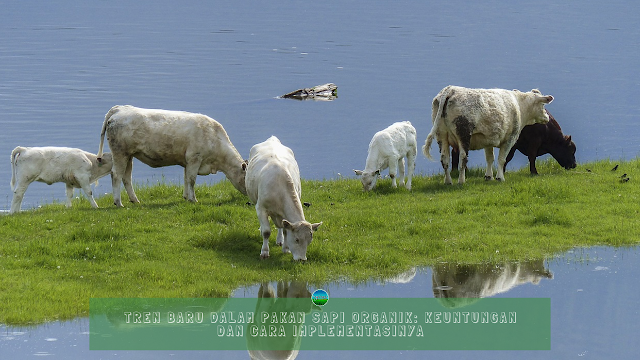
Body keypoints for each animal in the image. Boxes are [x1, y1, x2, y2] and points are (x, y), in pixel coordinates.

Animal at [97, 104, 248, 207]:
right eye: (246, 178)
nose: (250, 198)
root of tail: (120, 109)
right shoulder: (195, 158)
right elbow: (192, 179)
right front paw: (193, 199)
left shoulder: (188, 161)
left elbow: (186, 178)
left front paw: (186, 197)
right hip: (120, 152)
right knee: (116, 174)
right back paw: (118, 203)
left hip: (129, 155)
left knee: (126, 177)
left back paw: (135, 200)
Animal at [422, 86, 552, 184]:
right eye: (543, 105)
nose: (547, 117)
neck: (519, 106)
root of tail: (450, 89)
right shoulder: (509, 139)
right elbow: (501, 159)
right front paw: (500, 177)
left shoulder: (488, 140)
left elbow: (490, 158)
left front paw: (488, 176)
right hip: (463, 134)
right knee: (462, 158)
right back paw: (461, 181)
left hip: (441, 135)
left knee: (445, 159)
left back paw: (448, 181)